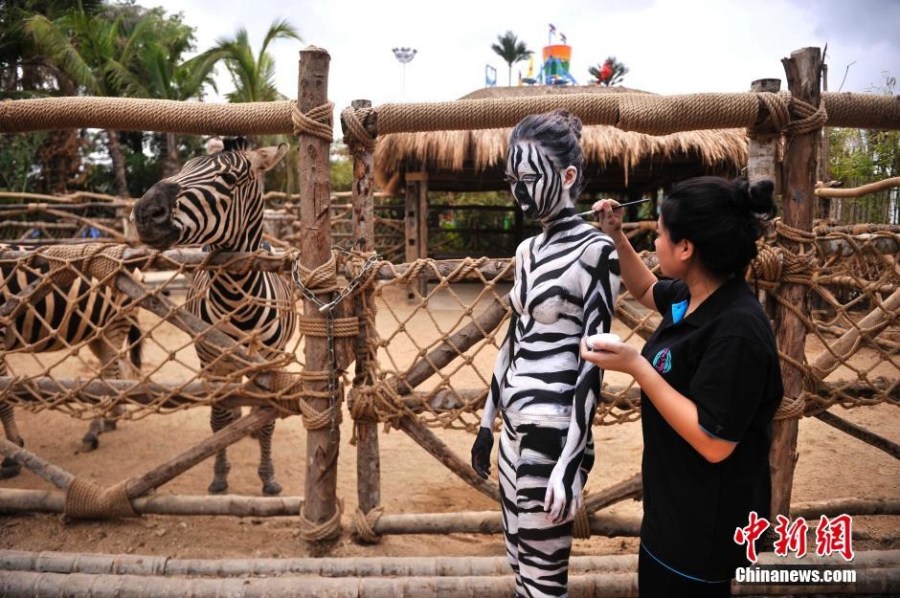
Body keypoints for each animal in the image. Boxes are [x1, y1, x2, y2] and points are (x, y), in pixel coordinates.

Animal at [0, 251, 142, 480]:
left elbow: (4, 399)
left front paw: (13, 455)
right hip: (98, 332)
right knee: (113, 371)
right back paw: (111, 418)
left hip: (115, 323)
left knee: (111, 373)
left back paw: (94, 433)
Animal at [129, 144, 296, 496]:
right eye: (184, 167)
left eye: (229, 178)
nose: (144, 212)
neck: (238, 302)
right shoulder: (212, 362)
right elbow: (218, 420)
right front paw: (220, 476)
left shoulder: (270, 362)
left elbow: (267, 420)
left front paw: (268, 477)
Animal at [468, 112, 624, 598]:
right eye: (511, 179)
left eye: (530, 178)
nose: (520, 200)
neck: (555, 231)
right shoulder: (516, 298)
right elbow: (507, 347)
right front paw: (479, 442)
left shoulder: (605, 262)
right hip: (509, 477)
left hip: (537, 471)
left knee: (538, 570)